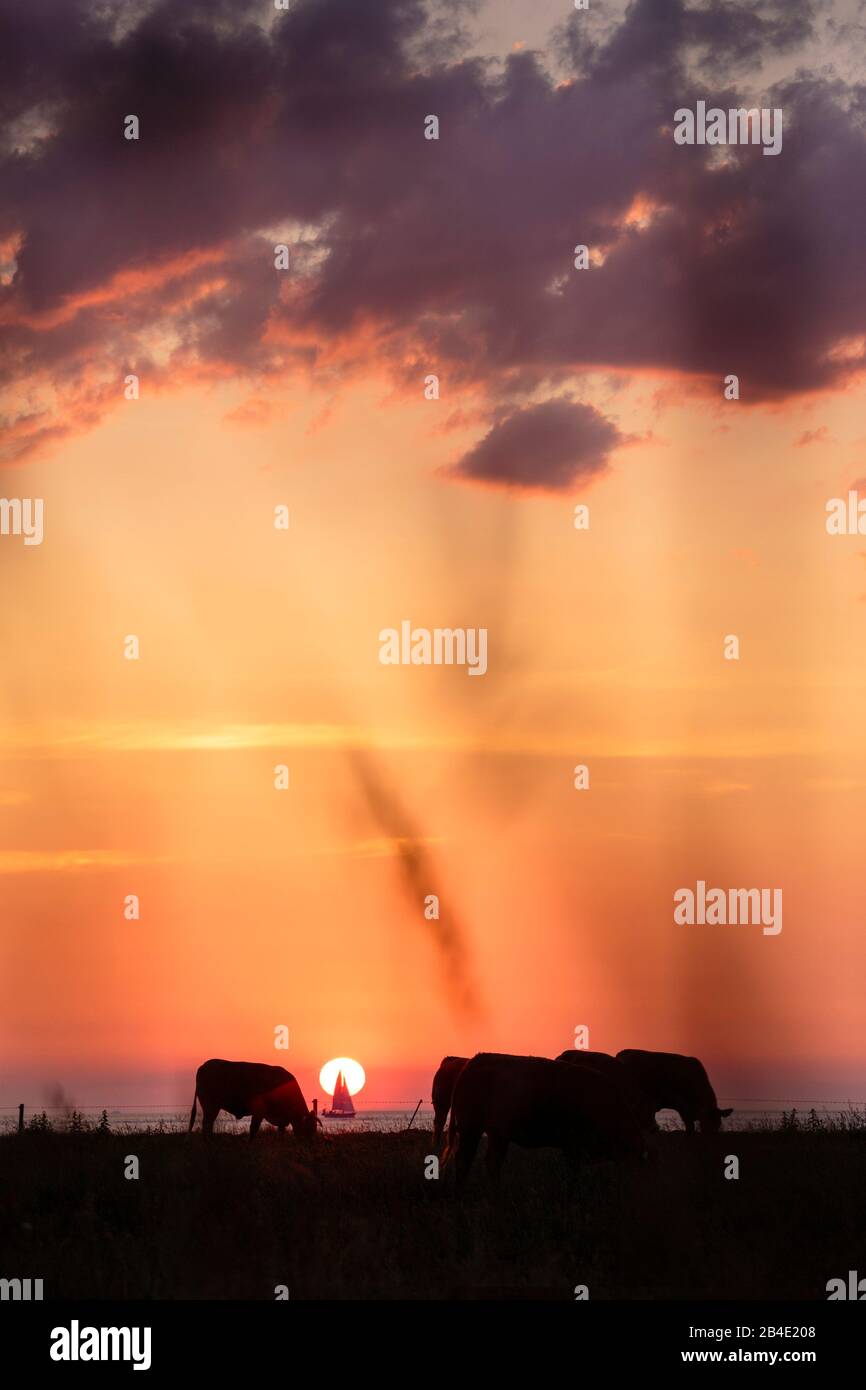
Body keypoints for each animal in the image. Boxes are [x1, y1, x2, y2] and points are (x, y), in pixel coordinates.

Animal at [187, 1061, 319, 1139]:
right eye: (308, 1129)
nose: (309, 1145)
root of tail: (204, 1066)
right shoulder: (259, 1112)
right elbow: (253, 1129)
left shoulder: (281, 1119)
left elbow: (280, 1133)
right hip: (210, 1106)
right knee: (207, 1124)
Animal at [444, 1045, 647, 1189]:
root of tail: (473, 1062)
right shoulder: (572, 1146)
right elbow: (573, 1172)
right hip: (475, 1130)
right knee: (474, 1161)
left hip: (486, 1133)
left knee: (477, 1160)